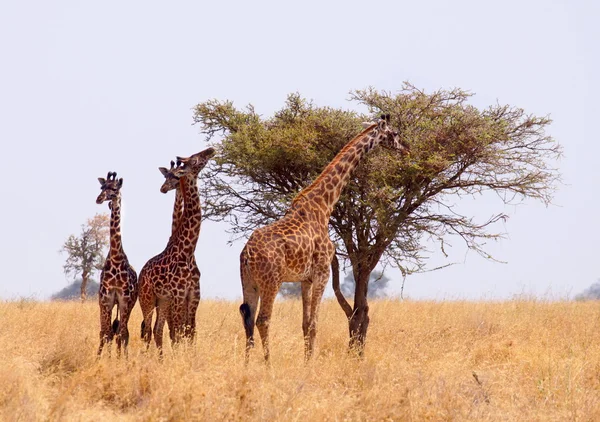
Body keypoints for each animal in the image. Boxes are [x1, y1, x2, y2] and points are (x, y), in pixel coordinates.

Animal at [139, 147, 216, 352]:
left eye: (175, 175)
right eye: (195, 159)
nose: (211, 149)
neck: (187, 251)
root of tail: (140, 273)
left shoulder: (193, 295)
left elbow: (190, 332)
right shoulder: (179, 295)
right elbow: (177, 333)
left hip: (162, 302)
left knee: (157, 330)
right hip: (147, 299)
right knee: (147, 330)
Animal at [237, 115, 410, 362]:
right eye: (394, 134)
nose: (406, 149)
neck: (324, 206)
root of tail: (247, 254)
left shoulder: (305, 279)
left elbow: (304, 324)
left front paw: (306, 360)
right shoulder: (322, 273)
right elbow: (313, 324)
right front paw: (310, 364)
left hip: (249, 282)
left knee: (247, 319)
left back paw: (247, 364)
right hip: (271, 281)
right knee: (263, 319)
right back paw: (268, 364)